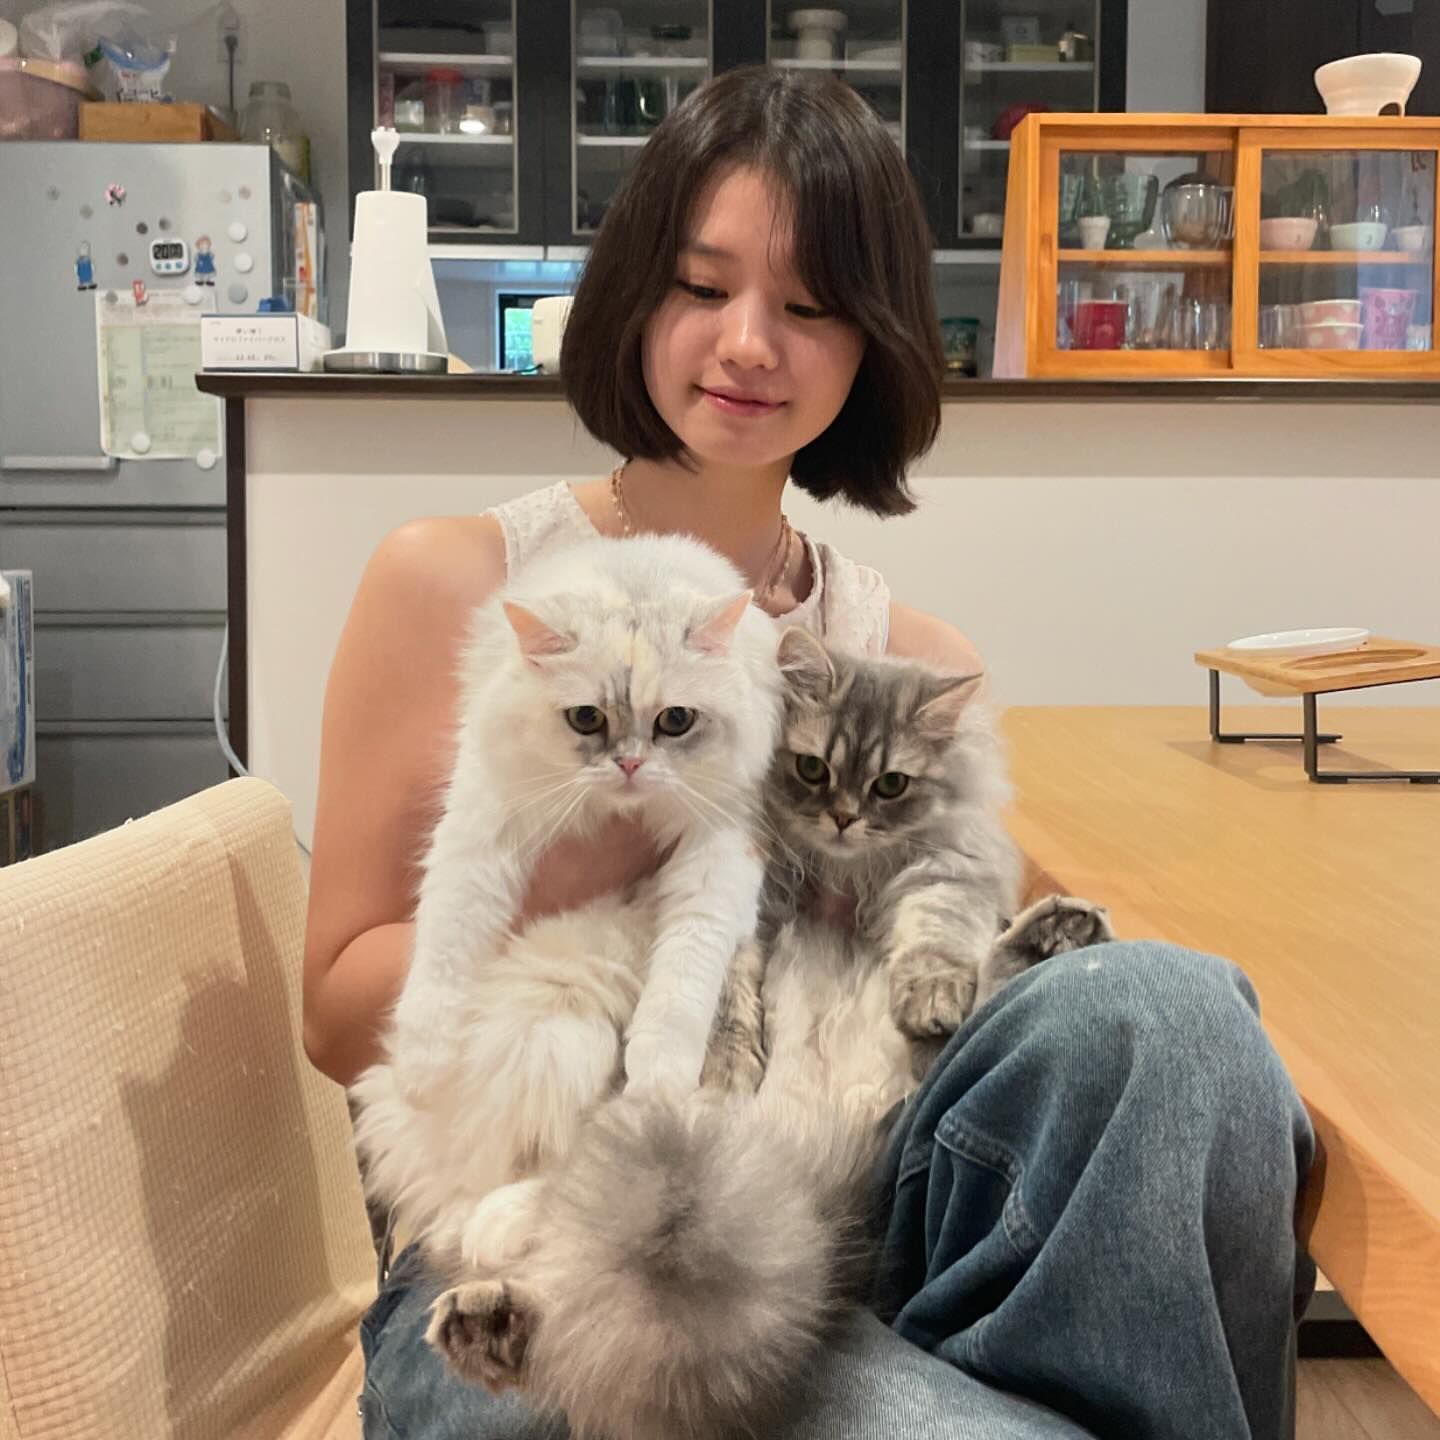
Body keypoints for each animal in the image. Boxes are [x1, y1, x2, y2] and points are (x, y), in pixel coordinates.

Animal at [349, 534, 784, 1268]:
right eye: (587, 718)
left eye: (675, 721)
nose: (630, 766)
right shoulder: (483, 825)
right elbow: (444, 943)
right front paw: (424, 1065)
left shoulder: (722, 846)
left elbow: (683, 977)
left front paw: (658, 1071)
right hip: (556, 1034)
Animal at [425, 628, 1115, 1440]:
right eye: (812, 769)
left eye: (891, 786)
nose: (843, 817)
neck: (840, 865)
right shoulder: (741, 904)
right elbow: (730, 1000)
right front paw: (725, 1066)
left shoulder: (943, 868)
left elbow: (938, 935)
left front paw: (933, 990)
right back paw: (489, 1301)